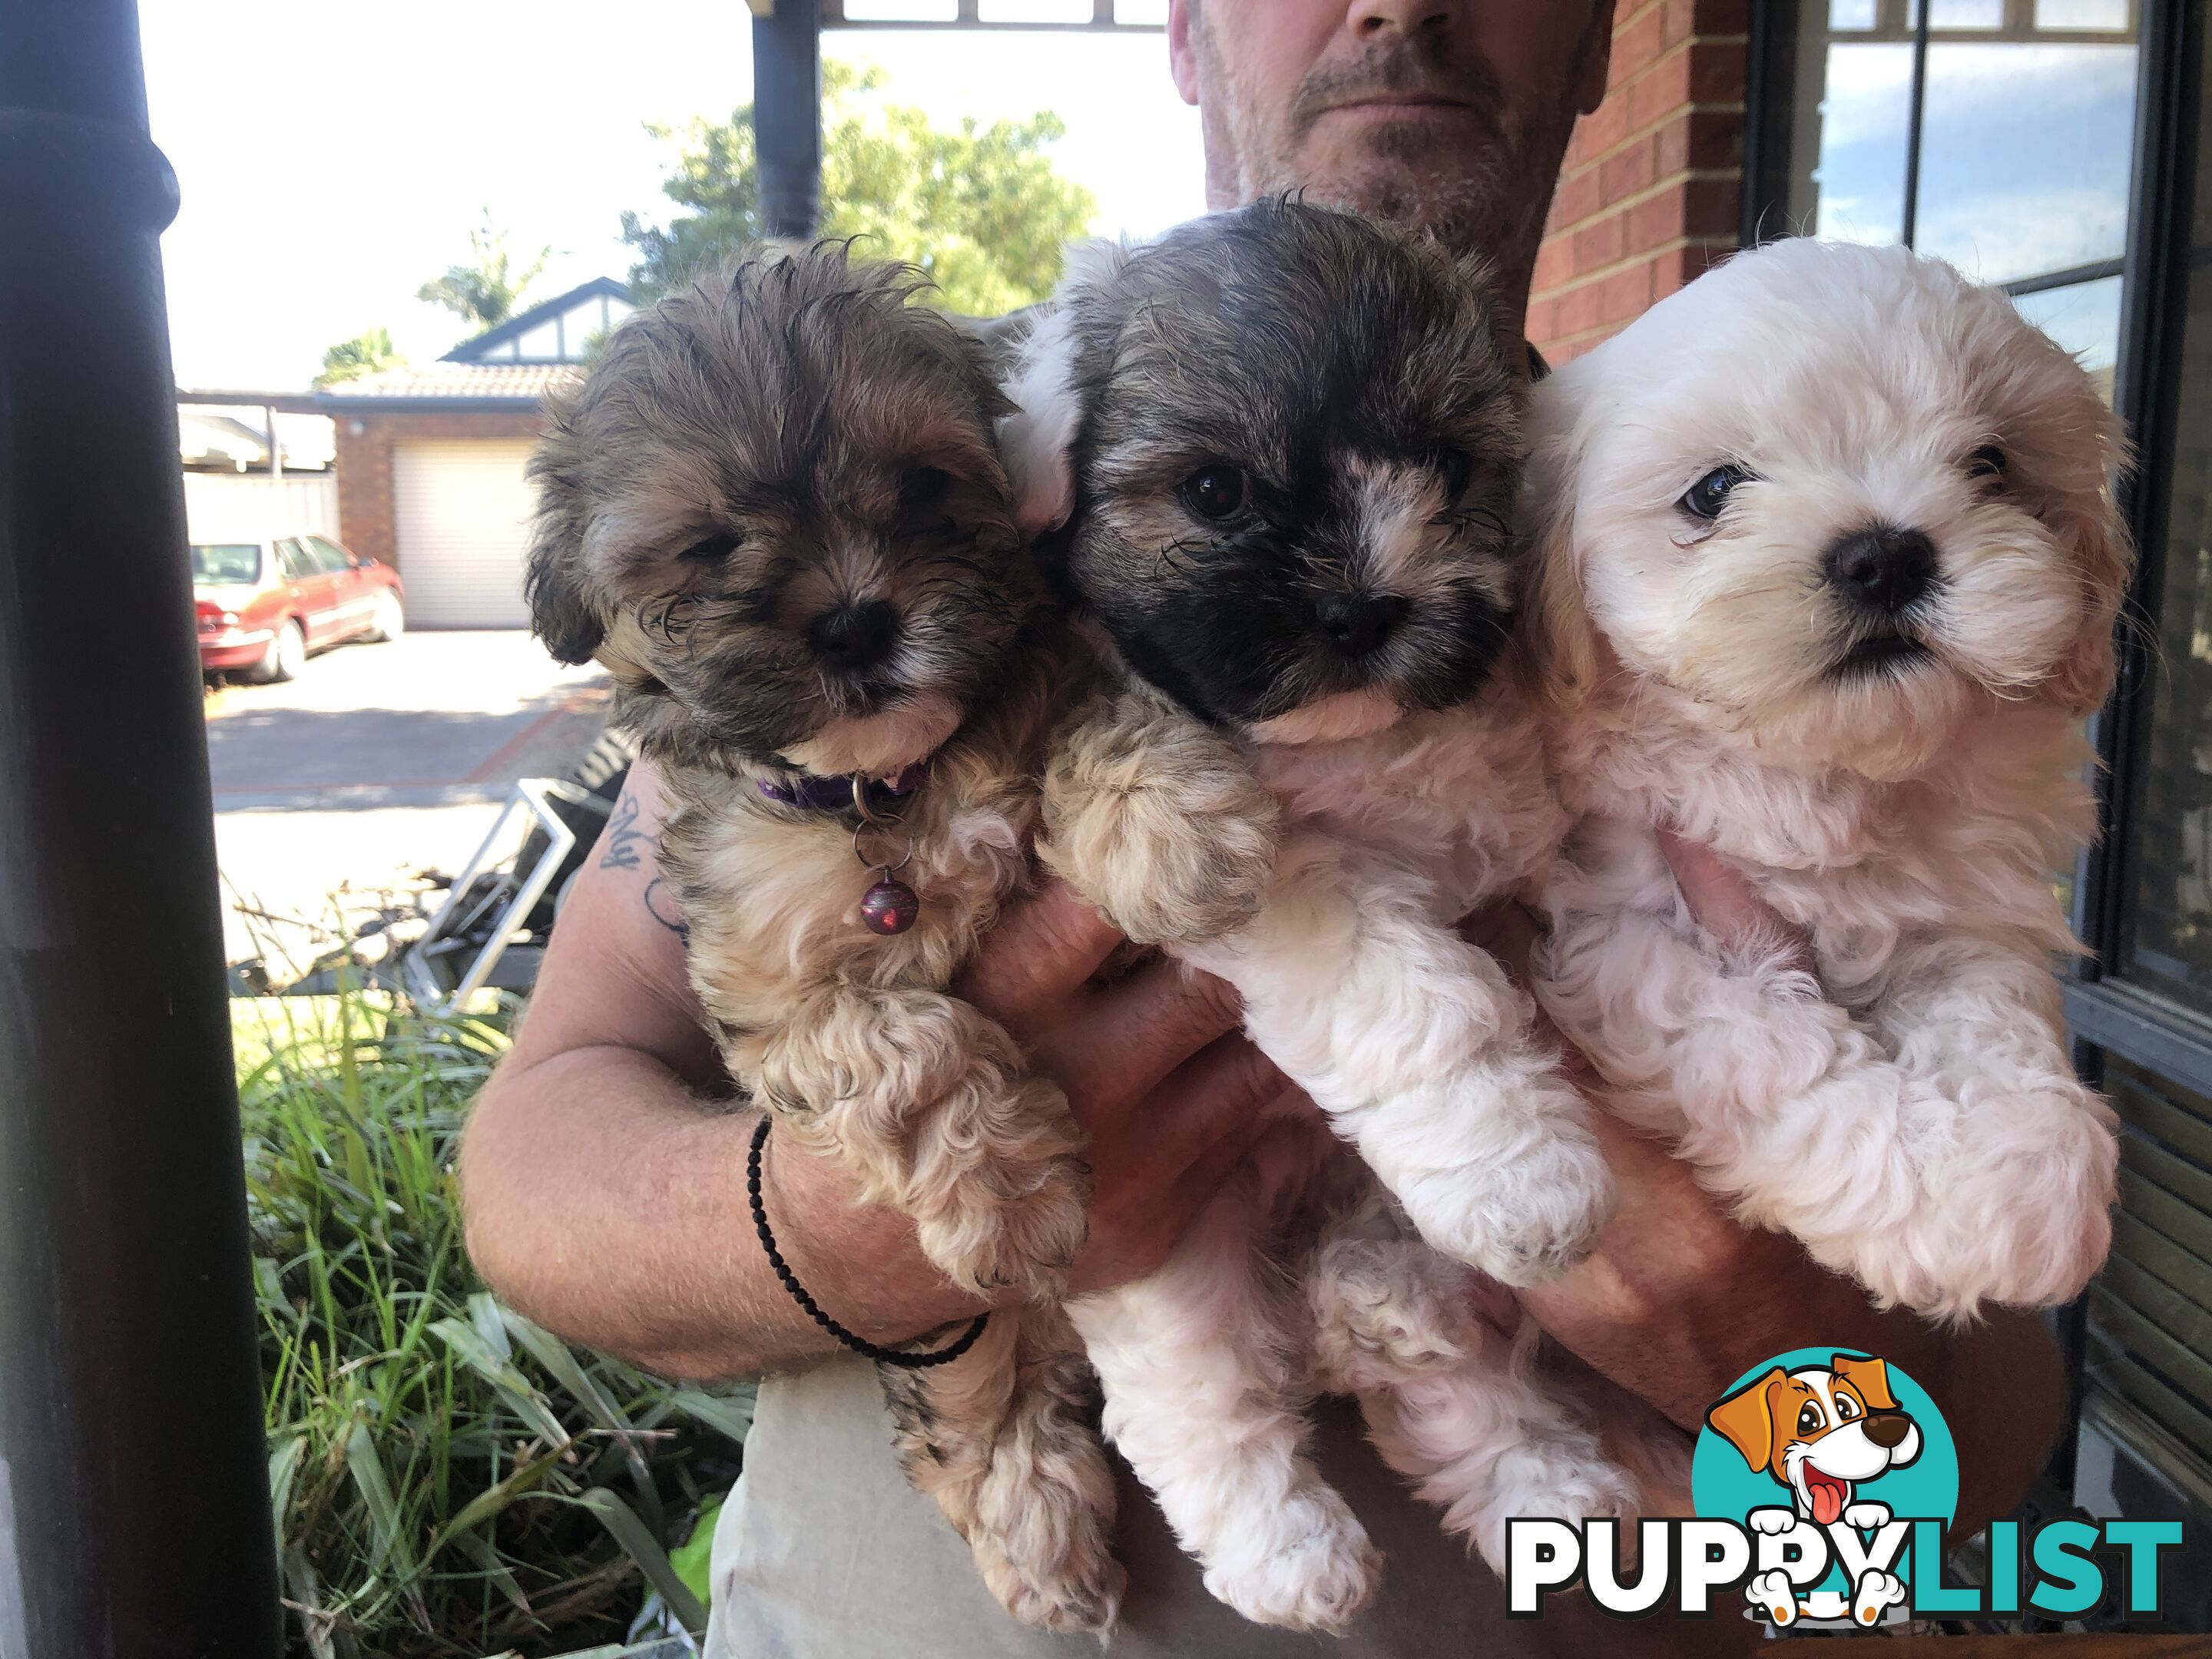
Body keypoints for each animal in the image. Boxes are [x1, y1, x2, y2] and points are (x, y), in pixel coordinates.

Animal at [524, 247, 1124, 1637]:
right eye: (705, 547)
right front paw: (1011, 1194)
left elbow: (1087, 722)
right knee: (976, 1384)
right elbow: (907, 1046)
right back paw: (1034, 1510)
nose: (855, 620)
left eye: (925, 483)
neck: (883, 792)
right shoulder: (772, 991)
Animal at [1530, 237, 2132, 1327]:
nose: (1883, 556)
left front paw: (2028, 1181)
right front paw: (1918, 1198)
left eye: (1990, 465)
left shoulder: (1956, 909)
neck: (1822, 772)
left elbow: (1995, 1013)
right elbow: (1770, 1052)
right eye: (1714, 491)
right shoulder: (1617, 917)